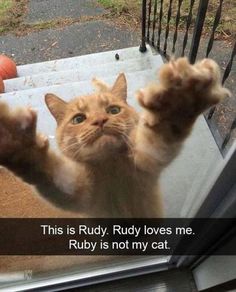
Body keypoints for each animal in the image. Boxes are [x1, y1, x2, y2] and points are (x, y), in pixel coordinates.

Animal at [0, 57, 230, 218]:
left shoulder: (148, 160)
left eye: (113, 110)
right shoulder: (75, 192)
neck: (110, 166)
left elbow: (163, 133)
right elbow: (46, 170)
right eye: (78, 119)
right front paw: (18, 143)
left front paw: (180, 101)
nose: (100, 121)